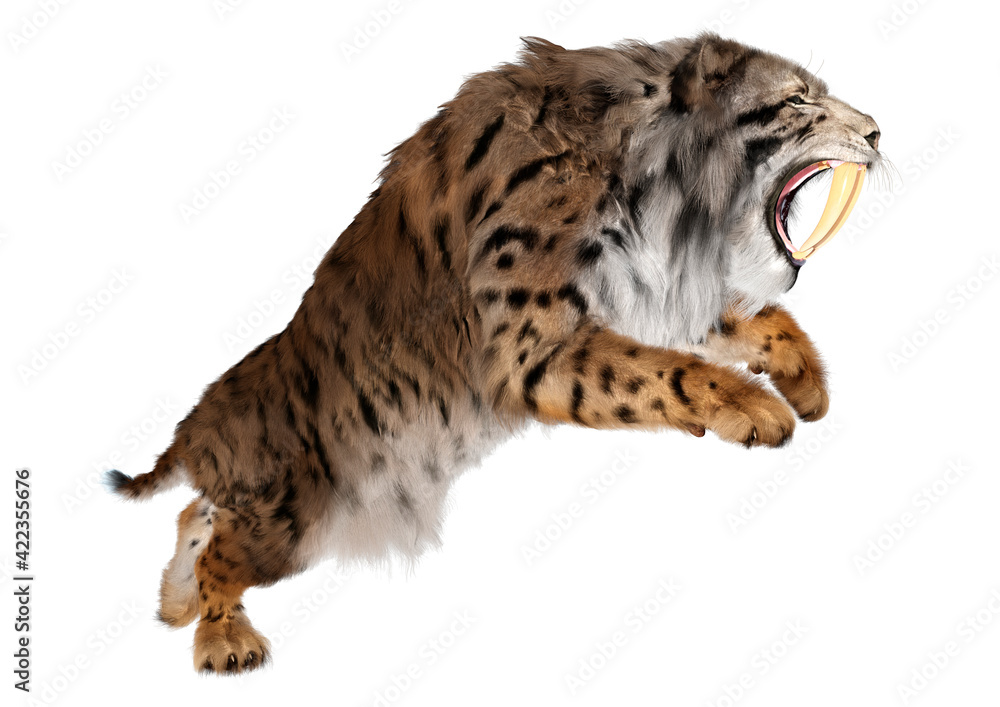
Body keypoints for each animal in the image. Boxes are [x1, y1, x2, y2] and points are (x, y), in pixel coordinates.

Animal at [105, 33, 882, 673]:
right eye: (799, 100)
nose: (878, 131)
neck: (651, 182)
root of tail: (194, 426)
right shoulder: (530, 346)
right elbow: (667, 371)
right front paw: (754, 405)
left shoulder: (632, 293)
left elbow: (747, 321)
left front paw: (804, 381)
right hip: (298, 517)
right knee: (220, 545)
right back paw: (219, 636)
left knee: (197, 512)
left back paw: (174, 602)